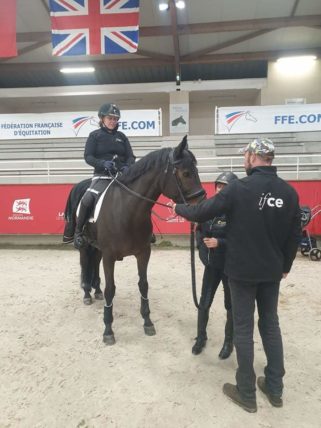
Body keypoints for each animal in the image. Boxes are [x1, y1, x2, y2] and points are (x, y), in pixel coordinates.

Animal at [64, 137, 205, 344]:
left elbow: (143, 285)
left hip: (97, 248)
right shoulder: (109, 256)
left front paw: (148, 322)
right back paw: (88, 294)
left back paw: (96, 291)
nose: (201, 205)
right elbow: (111, 289)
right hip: (86, 245)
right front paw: (108, 330)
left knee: (94, 263)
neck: (127, 210)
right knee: (84, 264)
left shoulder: (143, 253)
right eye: (186, 173)